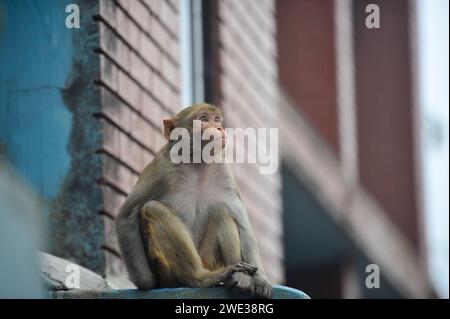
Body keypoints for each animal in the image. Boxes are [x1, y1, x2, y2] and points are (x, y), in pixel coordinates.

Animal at [115, 104, 270, 298]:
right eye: (203, 119)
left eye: (216, 119)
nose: (219, 128)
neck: (196, 162)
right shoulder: (160, 169)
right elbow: (126, 216)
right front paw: (146, 283)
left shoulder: (223, 171)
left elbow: (242, 224)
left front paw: (261, 278)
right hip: (168, 270)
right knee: (153, 209)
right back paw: (200, 278)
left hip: (207, 259)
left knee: (221, 212)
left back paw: (239, 278)